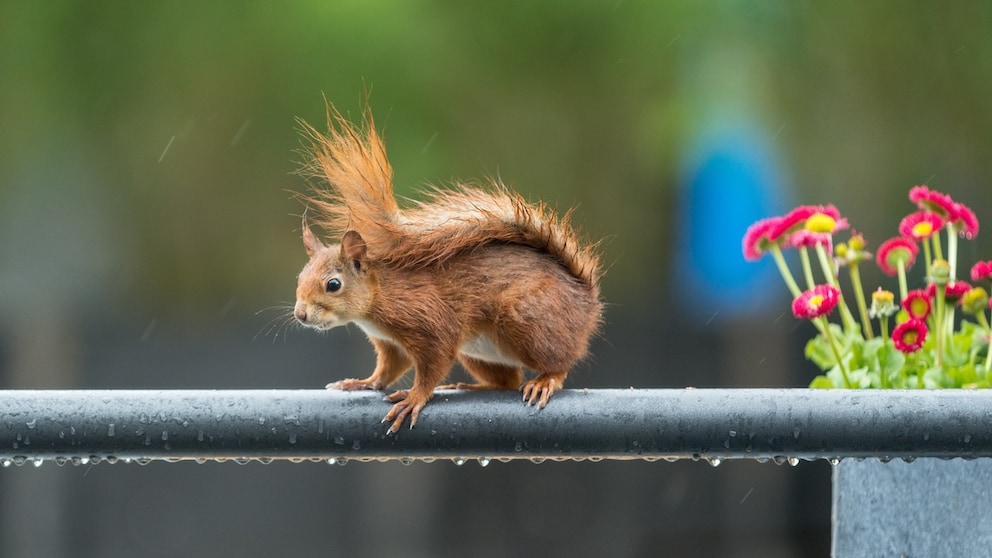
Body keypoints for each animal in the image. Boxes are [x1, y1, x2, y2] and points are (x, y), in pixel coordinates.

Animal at [293, 105, 603, 433]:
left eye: (333, 284)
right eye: (300, 277)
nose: (300, 314)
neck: (378, 298)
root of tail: (587, 300)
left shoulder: (429, 321)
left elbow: (433, 363)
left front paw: (414, 398)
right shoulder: (391, 344)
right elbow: (387, 370)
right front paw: (361, 383)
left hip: (530, 322)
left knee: (558, 363)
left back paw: (545, 380)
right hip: (482, 353)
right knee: (507, 380)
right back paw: (470, 387)